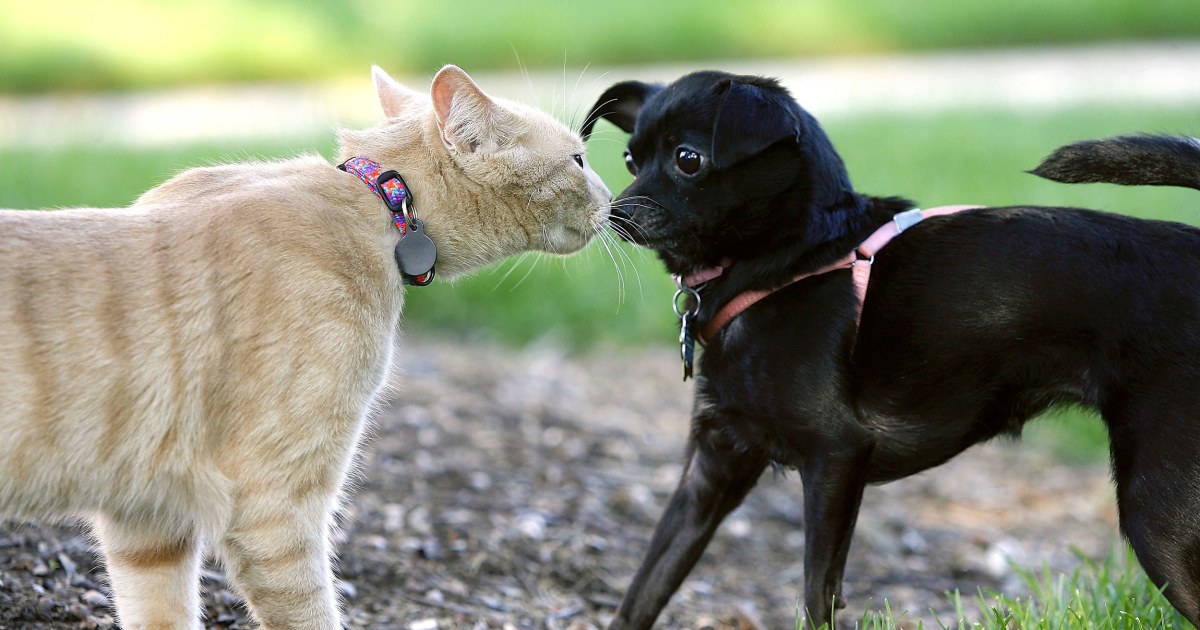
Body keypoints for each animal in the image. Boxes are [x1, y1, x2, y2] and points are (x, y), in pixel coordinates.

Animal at [0, 65, 614, 628]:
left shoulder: (147, 515)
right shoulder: (273, 505)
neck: (380, 202)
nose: (612, 197)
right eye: (579, 161)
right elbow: (311, 609)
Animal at [580, 71, 1200, 624]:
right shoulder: (710, 470)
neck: (790, 263)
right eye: (631, 161)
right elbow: (645, 589)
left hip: (1156, 513)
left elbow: (816, 593)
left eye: (688, 159)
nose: (616, 212)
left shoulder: (836, 458)